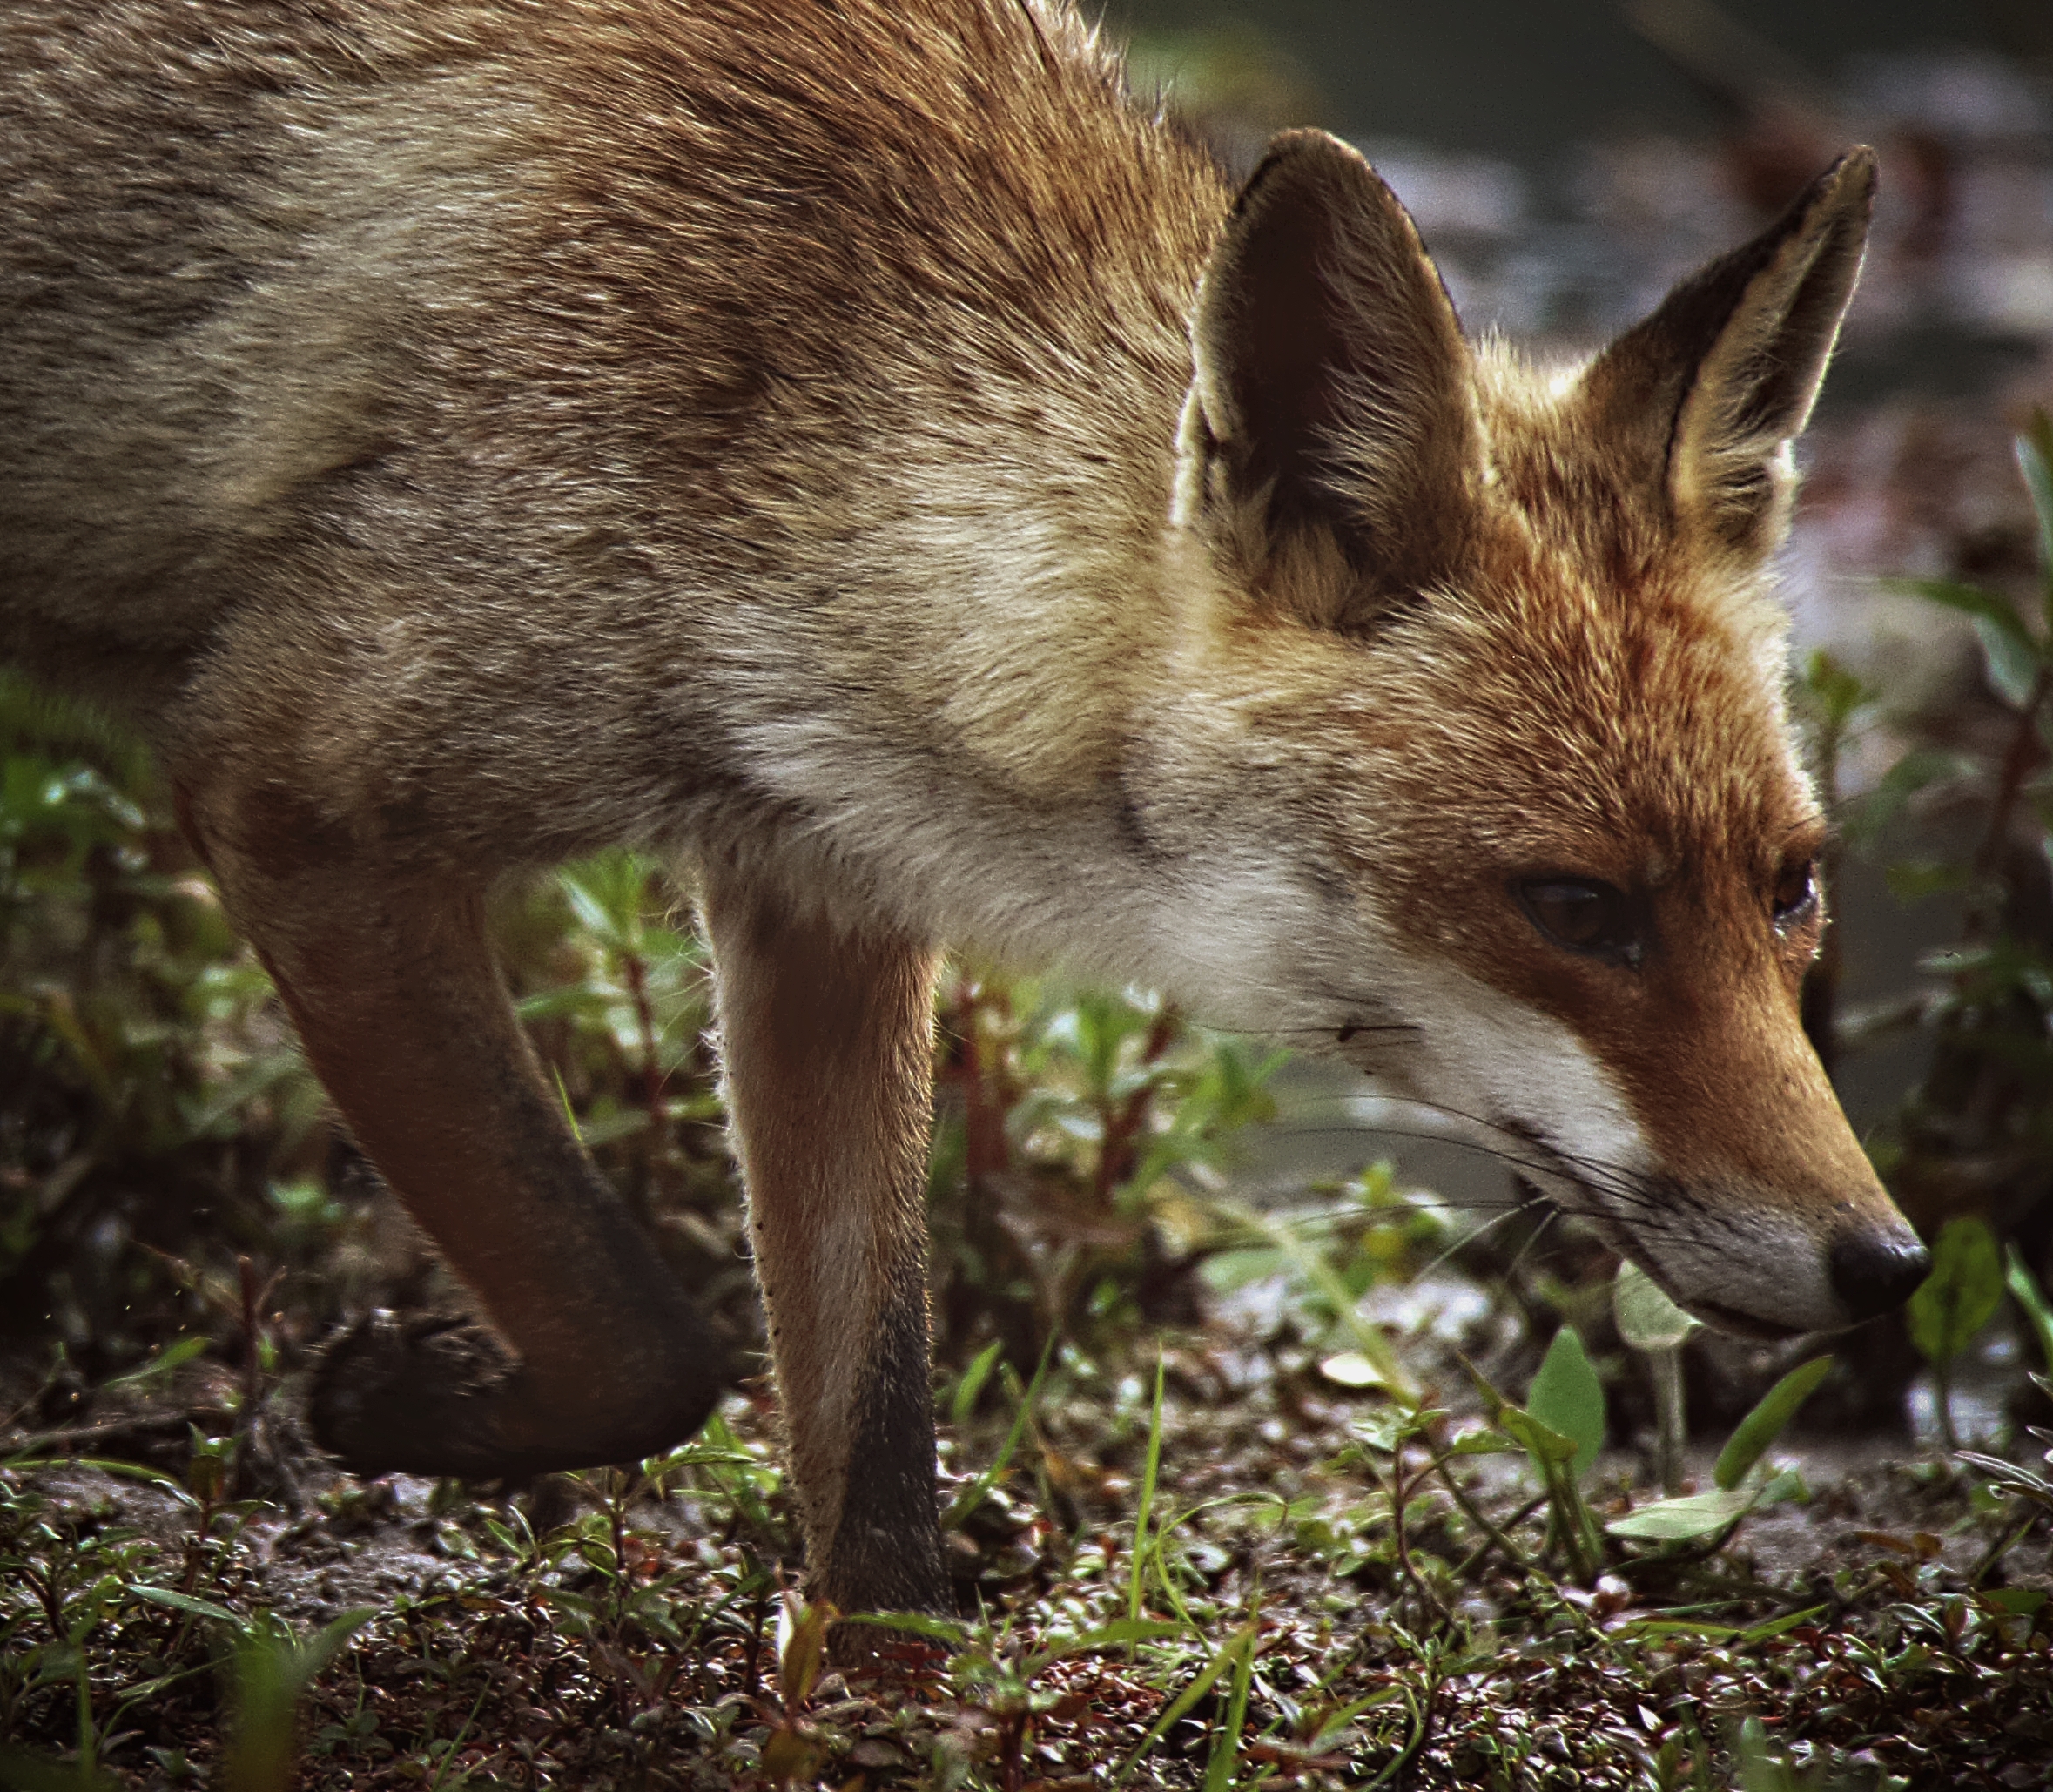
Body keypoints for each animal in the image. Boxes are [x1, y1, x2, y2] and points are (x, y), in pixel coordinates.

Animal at [1, 0, 1930, 1615]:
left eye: (1791, 889)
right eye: (1572, 907)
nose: (1885, 1265)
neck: (770, 419)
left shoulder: (822, 910)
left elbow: (872, 1448)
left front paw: (870, 1705)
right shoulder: (292, 783)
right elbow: (649, 1339)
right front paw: (389, 1403)